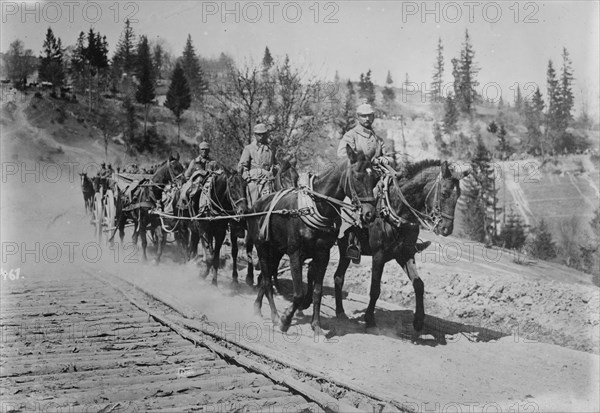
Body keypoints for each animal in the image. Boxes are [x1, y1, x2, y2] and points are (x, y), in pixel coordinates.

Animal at [246, 146, 378, 334]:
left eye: (375, 178)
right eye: (357, 177)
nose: (370, 214)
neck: (315, 207)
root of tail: (258, 204)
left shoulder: (322, 255)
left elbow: (317, 291)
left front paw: (316, 326)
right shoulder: (295, 254)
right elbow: (298, 293)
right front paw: (286, 319)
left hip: (276, 250)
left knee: (267, 278)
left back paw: (258, 307)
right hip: (262, 247)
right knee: (266, 280)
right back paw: (274, 316)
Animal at [332, 159, 468, 330]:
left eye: (459, 196)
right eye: (444, 193)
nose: (446, 229)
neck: (395, 213)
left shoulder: (405, 255)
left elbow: (419, 284)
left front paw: (418, 320)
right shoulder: (379, 256)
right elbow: (375, 289)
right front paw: (369, 318)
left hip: (345, 251)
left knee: (338, 277)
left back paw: (340, 312)